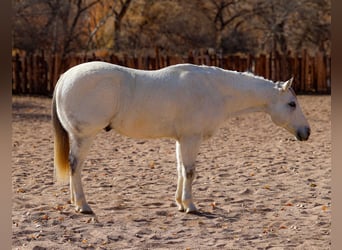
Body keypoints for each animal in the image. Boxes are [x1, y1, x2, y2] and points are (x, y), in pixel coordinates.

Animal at [52, 61, 312, 214]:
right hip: (84, 137)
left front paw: (179, 203)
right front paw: (190, 205)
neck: (213, 89)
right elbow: (189, 172)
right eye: (291, 103)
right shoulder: (191, 139)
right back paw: (83, 205)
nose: (306, 132)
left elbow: (179, 170)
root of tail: (65, 76)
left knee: (75, 167)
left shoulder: (181, 139)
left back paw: (75, 202)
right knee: (76, 166)